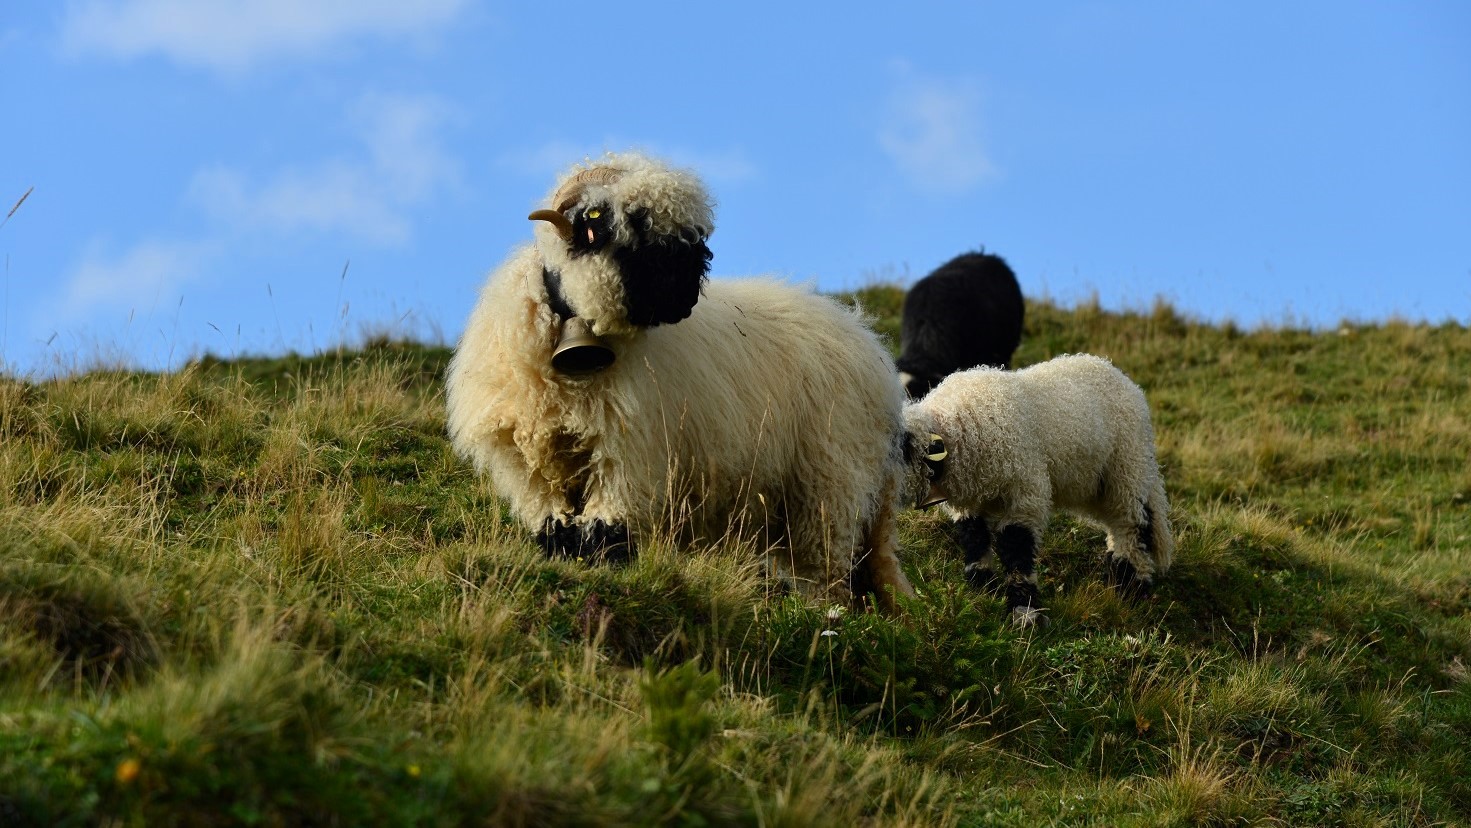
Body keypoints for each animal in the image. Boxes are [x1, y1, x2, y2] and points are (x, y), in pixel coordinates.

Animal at [445, 152, 915, 611]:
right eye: (634, 223)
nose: (687, 296)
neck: (572, 363)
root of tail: (871, 347)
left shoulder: (629, 455)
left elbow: (605, 529)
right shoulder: (527, 469)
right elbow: (555, 528)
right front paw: (566, 561)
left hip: (831, 480)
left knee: (829, 566)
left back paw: (824, 611)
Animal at [899, 353, 1173, 625]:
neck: (953, 428)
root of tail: (1117, 373)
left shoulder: (1025, 494)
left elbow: (1016, 546)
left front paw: (1024, 611)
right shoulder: (971, 503)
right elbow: (974, 539)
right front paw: (983, 589)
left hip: (1127, 467)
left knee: (1132, 526)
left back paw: (1131, 588)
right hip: (1099, 482)